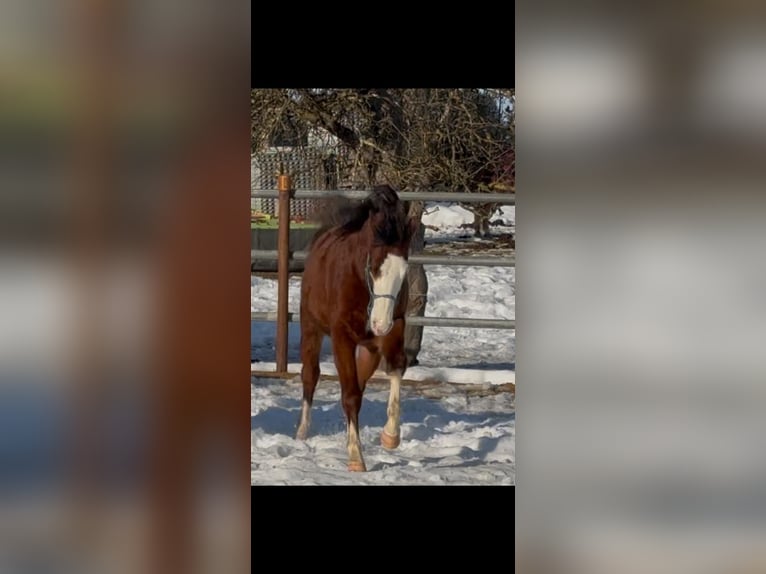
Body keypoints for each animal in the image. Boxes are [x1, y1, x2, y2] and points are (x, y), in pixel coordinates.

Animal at [296, 185, 418, 471]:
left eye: (404, 272)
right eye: (373, 268)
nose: (379, 323)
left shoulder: (395, 327)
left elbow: (396, 368)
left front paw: (390, 436)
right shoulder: (341, 336)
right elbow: (349, 393)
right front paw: (355, 456)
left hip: (370, 347)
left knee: (361, 380)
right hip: (311, 327)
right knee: (311, 375)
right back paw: (302, 431)